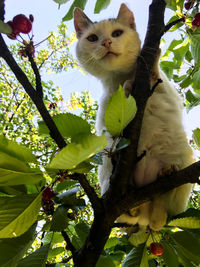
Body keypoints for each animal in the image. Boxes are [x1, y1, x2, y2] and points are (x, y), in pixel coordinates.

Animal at [73, 2, 194, 232]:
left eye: (117, 33)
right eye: (93, 38)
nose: (107, 42)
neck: (122, 77)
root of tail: (145, 217)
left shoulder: (163, 90)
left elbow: (154, 76)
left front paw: (151, 61)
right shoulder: (107, 119)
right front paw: (128, 89)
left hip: (184, 161)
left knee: (161, 214)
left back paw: (165, 176)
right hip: (107, 171)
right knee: (141, 213)